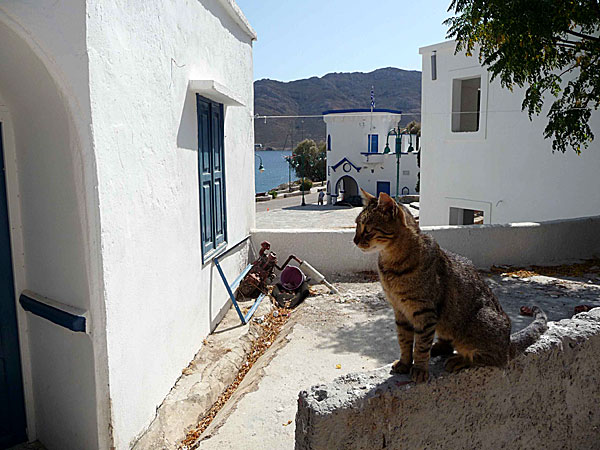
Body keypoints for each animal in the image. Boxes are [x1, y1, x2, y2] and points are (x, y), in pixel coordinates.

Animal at [354, 190, 548, 384]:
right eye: (356, 226)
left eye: (367, 229)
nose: (355, 240)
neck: (392, 264)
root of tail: (508, 342)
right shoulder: (400, 311)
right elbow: (405, 341)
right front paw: (405, 363)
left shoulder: (424, 312)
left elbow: (421, 346)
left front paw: (419, 369)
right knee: (448, 344)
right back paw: (438, 348)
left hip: (478, 321)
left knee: (495, 358)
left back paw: (460, 359)